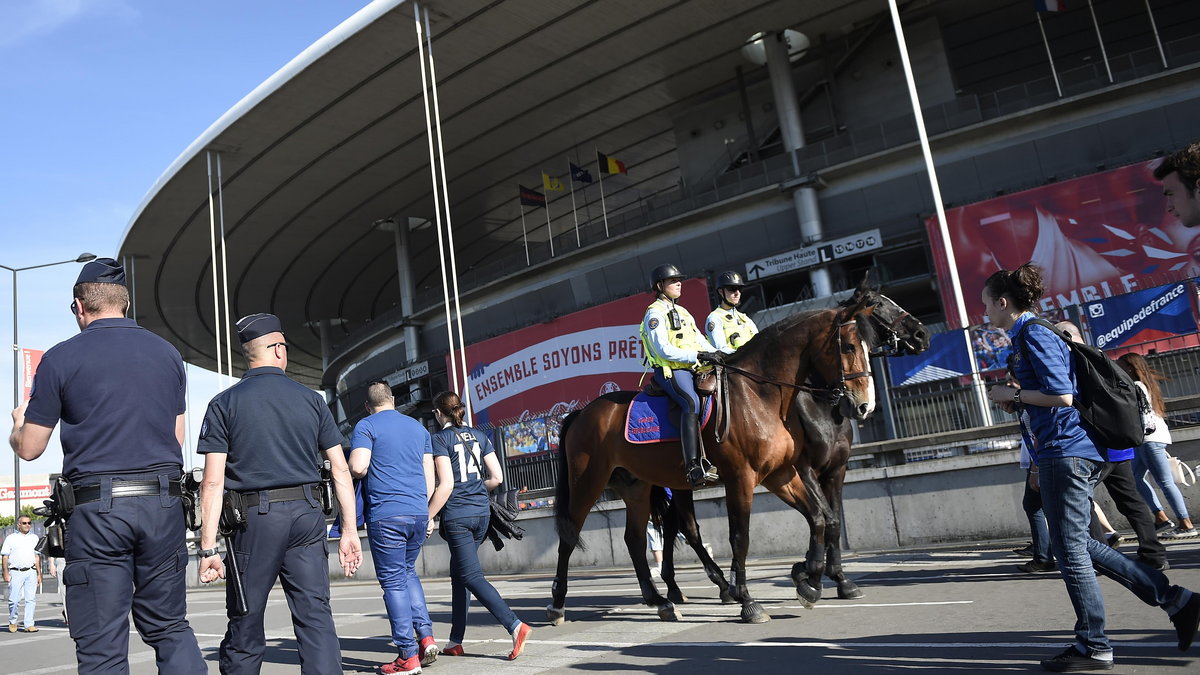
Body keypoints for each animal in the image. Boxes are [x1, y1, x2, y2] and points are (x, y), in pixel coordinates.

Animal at [549, 285, 888, 624]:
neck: (760, 395)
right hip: (588, 482)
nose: (864, 405)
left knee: (634, 539)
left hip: (637, 487)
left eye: (867, 346)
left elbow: (820, 518)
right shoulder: (742, 478)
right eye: (848, 347)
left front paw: (809, 582)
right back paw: (558, 604)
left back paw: (661, 601)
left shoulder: (781, 474)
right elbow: (740, 537)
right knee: (570, 536)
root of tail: (581, 413)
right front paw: (748, 601)